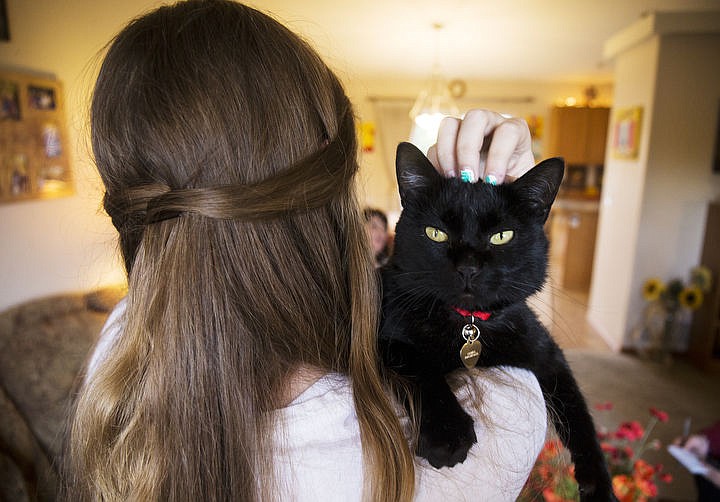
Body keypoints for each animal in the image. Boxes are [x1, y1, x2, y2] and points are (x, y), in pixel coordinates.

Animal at [382, 141, 612, 502]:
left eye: (501, 236)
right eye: (436, 234)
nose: (468, 268)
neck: (468, 325)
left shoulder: (547, 355)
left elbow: (580, 417)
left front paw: (599, 486)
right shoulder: (385, 338)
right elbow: (421, 369)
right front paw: (447, 434)